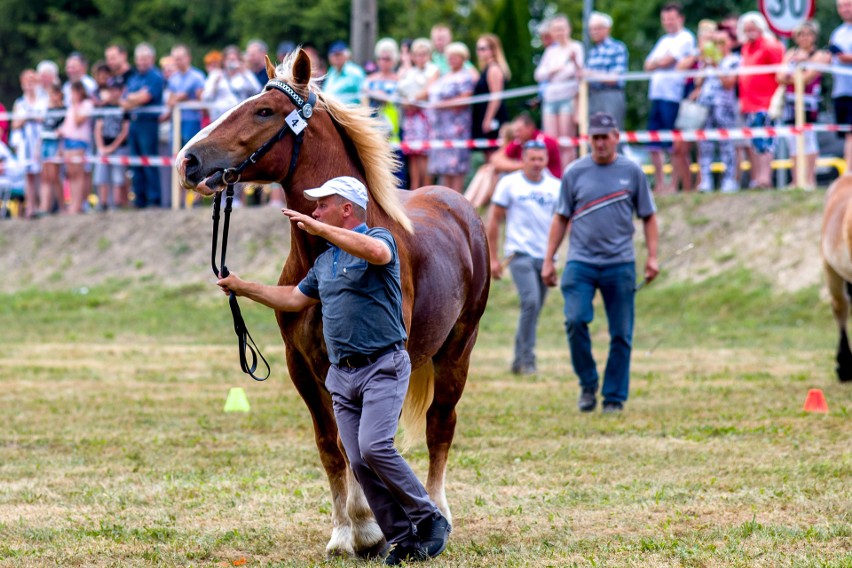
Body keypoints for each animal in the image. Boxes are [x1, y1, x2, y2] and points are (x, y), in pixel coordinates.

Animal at [176, 51, 490, 556]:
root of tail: (458, 205)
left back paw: (438, 512)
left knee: (440, 426)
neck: (326, 251)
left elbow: (364, 441)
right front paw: (348, 531)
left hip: (457, 350)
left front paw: (371, 528)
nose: (187, 159)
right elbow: (332, 444)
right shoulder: (302, 366)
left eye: (263, 111)